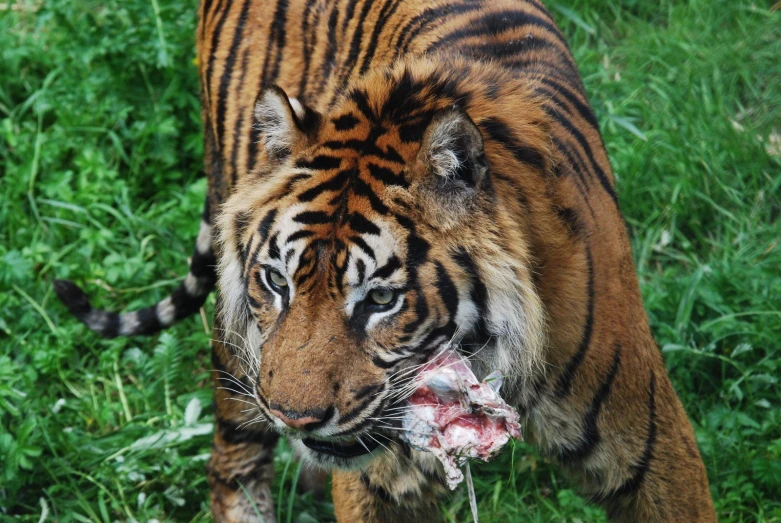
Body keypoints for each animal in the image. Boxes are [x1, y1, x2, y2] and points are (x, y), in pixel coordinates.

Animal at [51, 0, 716, 520]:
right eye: (276, 282)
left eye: (379, 299)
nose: (295, 419)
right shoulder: (378, 480)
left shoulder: (653, 448)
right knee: (230, 462)